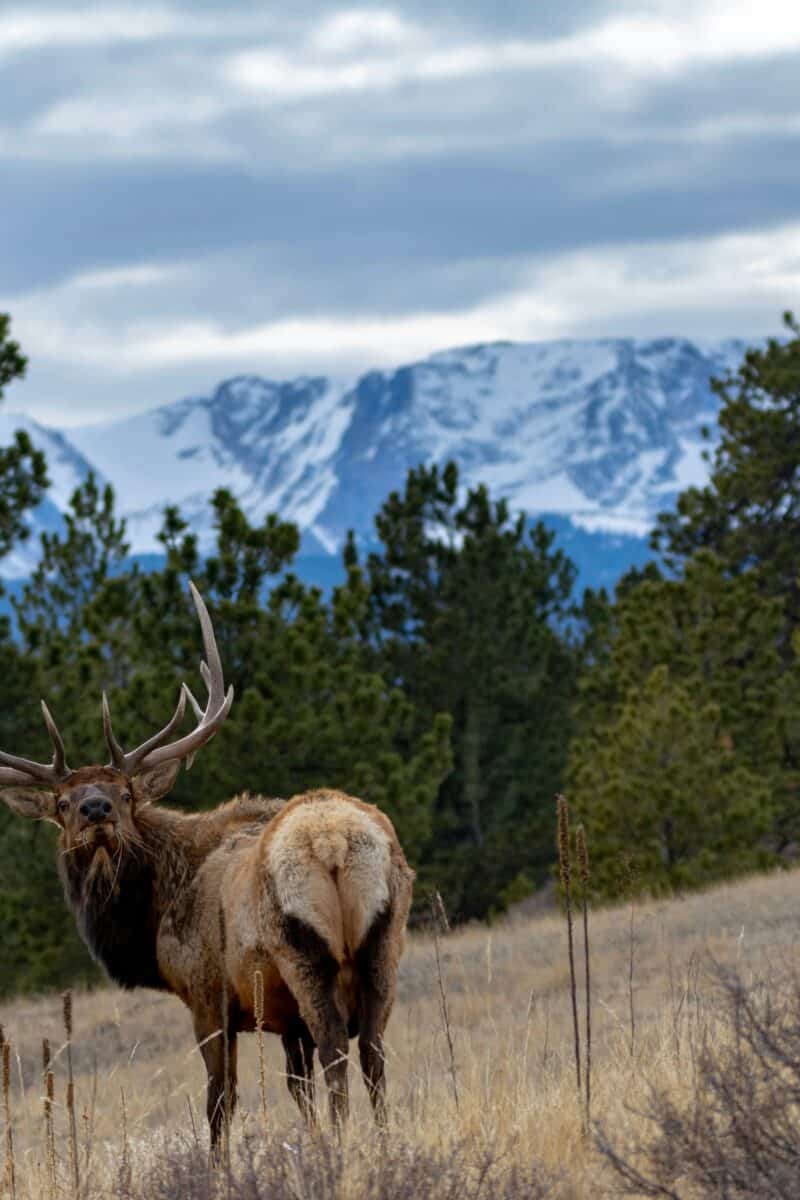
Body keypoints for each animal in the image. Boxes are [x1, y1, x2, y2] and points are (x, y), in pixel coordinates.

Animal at [0, 583, 415, 1149]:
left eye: (126, 793)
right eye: (62, 803)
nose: (96, 809)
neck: (152, 919)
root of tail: (332, 843)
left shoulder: (206, 994)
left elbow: (222, 1100)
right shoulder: (281, 1016)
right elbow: (296, 1087)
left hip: (302, 953)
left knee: (336, 1047)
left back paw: (344, 1142)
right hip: (384, 945)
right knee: (373, 1051)